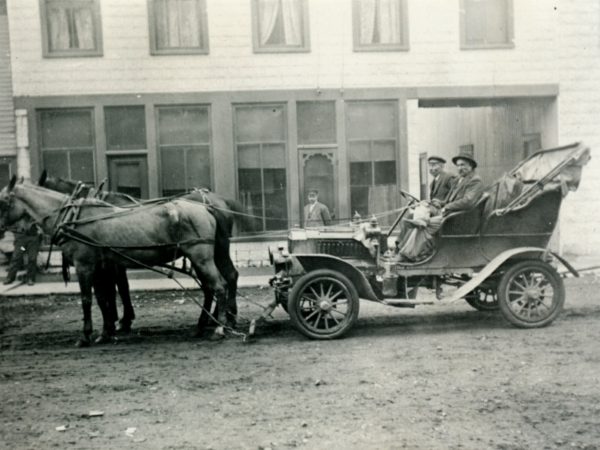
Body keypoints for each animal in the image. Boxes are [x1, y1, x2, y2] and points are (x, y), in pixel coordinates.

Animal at [38, 171, 248, 330]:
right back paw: (221, 316)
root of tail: (216, 200)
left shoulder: (111, 263)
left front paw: (121, 320)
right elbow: (116, 288)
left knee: (222, 279)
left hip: (212, 249)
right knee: (223, 278)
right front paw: (118, 320)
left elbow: (119, 288)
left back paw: (221, 318)